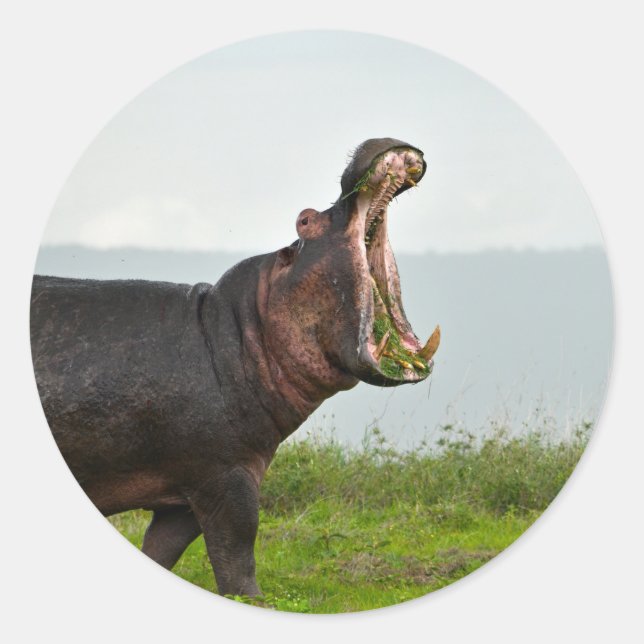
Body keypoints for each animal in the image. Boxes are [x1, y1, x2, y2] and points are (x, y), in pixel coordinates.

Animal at [30, 137, 441, 597]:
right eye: (304, 220)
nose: (372, 143)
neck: (244, 331)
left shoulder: (182, 497)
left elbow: (161, 550)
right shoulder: (227, 476)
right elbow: (238, 551)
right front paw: (256, 600)